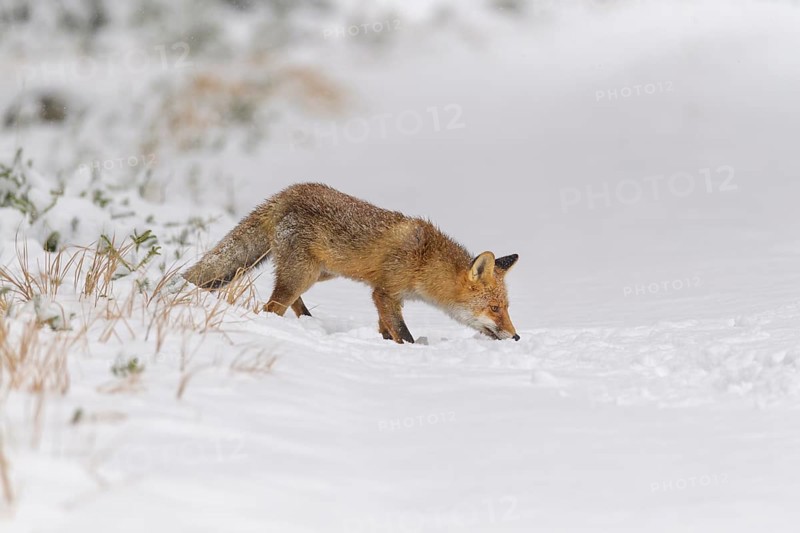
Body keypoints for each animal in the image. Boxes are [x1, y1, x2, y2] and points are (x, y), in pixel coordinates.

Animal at [183, 183, 520, 344]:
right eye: (494, 308)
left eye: (505, 307)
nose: (516, 336)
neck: (424, 260)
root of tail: (286, 192)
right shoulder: (384, 292)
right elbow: (404, 335)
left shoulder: (387, 297)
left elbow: (387, 330)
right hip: (303, 273)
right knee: (271, 307)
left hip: (319, 273)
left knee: (289, 300)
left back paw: (308, 321)